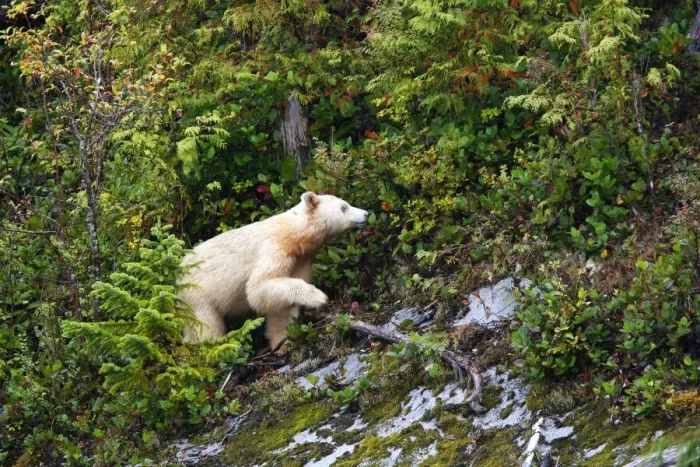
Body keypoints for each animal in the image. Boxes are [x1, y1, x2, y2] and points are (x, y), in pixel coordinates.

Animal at [179, 191, 369, 349]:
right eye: (344, 207)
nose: (366, 214)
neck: (292, 234)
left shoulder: (300, 260)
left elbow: (282, 306)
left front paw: (282, 342)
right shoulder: (273, 249)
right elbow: (258, 286)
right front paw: (318, 296)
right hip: (197, 296)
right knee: (207, 325)